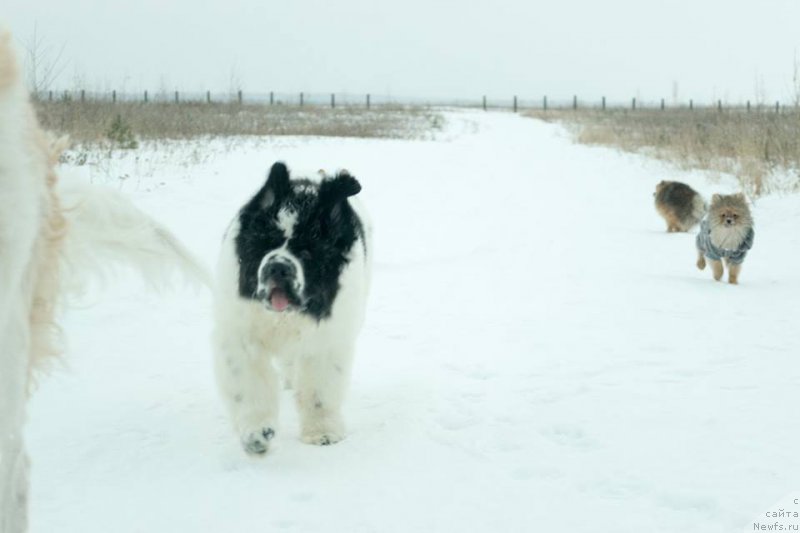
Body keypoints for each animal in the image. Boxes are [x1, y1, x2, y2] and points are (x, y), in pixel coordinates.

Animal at [214, 161, 374, 454]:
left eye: (308, 252)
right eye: (264, 242)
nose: (278, 267)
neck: (285, 317)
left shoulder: (327, 339)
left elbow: (320, 390)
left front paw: (322, 432)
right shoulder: (240, 332)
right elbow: (248, 383)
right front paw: (257, 432)